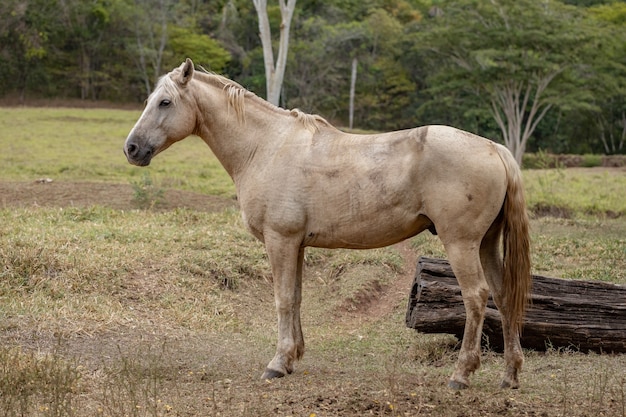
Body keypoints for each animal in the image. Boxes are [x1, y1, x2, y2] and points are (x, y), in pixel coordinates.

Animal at [123, 59, 532, 390]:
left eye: (164, 102)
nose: (131, 148)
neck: (265, 147)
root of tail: (495, 148)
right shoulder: (297, 244)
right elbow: (297, 297)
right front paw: (292, 358)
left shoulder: (280, 241)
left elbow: (283, 299)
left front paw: (277, 364)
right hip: (486, 244)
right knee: (502, 295)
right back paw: (509, 375)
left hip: (461, 244)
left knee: (476, 296)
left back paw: (461, 374)